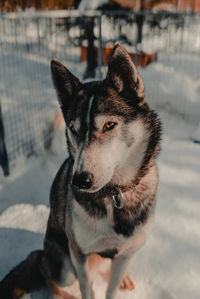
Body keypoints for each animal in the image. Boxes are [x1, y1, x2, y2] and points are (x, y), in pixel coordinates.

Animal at [0, 44, 160, 299]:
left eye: (109, 125)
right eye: (73, 129)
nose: (80, 180)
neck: (114, 194)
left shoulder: (125, 253)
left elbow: (111, 289)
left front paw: (117, 283)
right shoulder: (78, 253)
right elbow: (87, 287)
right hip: (63, 264)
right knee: (48, 274)